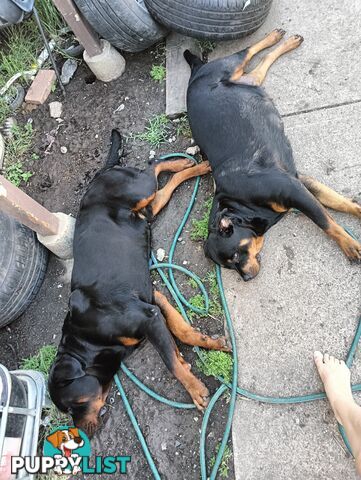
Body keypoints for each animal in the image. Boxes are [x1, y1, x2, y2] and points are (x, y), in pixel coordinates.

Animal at [48, 130, 231, 436]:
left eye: (72, 406)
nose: (82, 435)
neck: (87, 339)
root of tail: (101, 172)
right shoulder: (153, 299)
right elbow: (180, 333)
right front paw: (207, 344)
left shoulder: (147, 317)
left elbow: (170, 362)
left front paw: (194, 389)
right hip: (145, 209)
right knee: (163, 190)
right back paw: (189, 167)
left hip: (137, 189)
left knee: (152, 168)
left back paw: (186, 163)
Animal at [184, 28, 358, 280]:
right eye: (229, 267)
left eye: (234, 256)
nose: (246, 278)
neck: (243, 206)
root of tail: (196, 72)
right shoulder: (300, 181)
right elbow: (338, 202)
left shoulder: (295, 190)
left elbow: (327, 221)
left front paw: (350, 245)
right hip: (246, 80)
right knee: (260, 66)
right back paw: (284, 41)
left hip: (227, 65)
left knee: (248, 52)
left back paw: (276, 37)